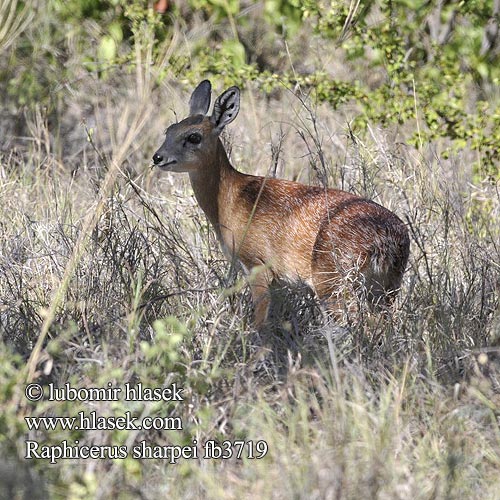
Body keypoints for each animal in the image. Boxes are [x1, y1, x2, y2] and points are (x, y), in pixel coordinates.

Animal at [153, 80, 410, 326]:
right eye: (169, 130)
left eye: (193, 136)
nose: (158, 157)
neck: (230, 199)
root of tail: (387, 239)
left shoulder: (257, 266)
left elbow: (261, 323)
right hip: (386, 286)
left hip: (333, 282)